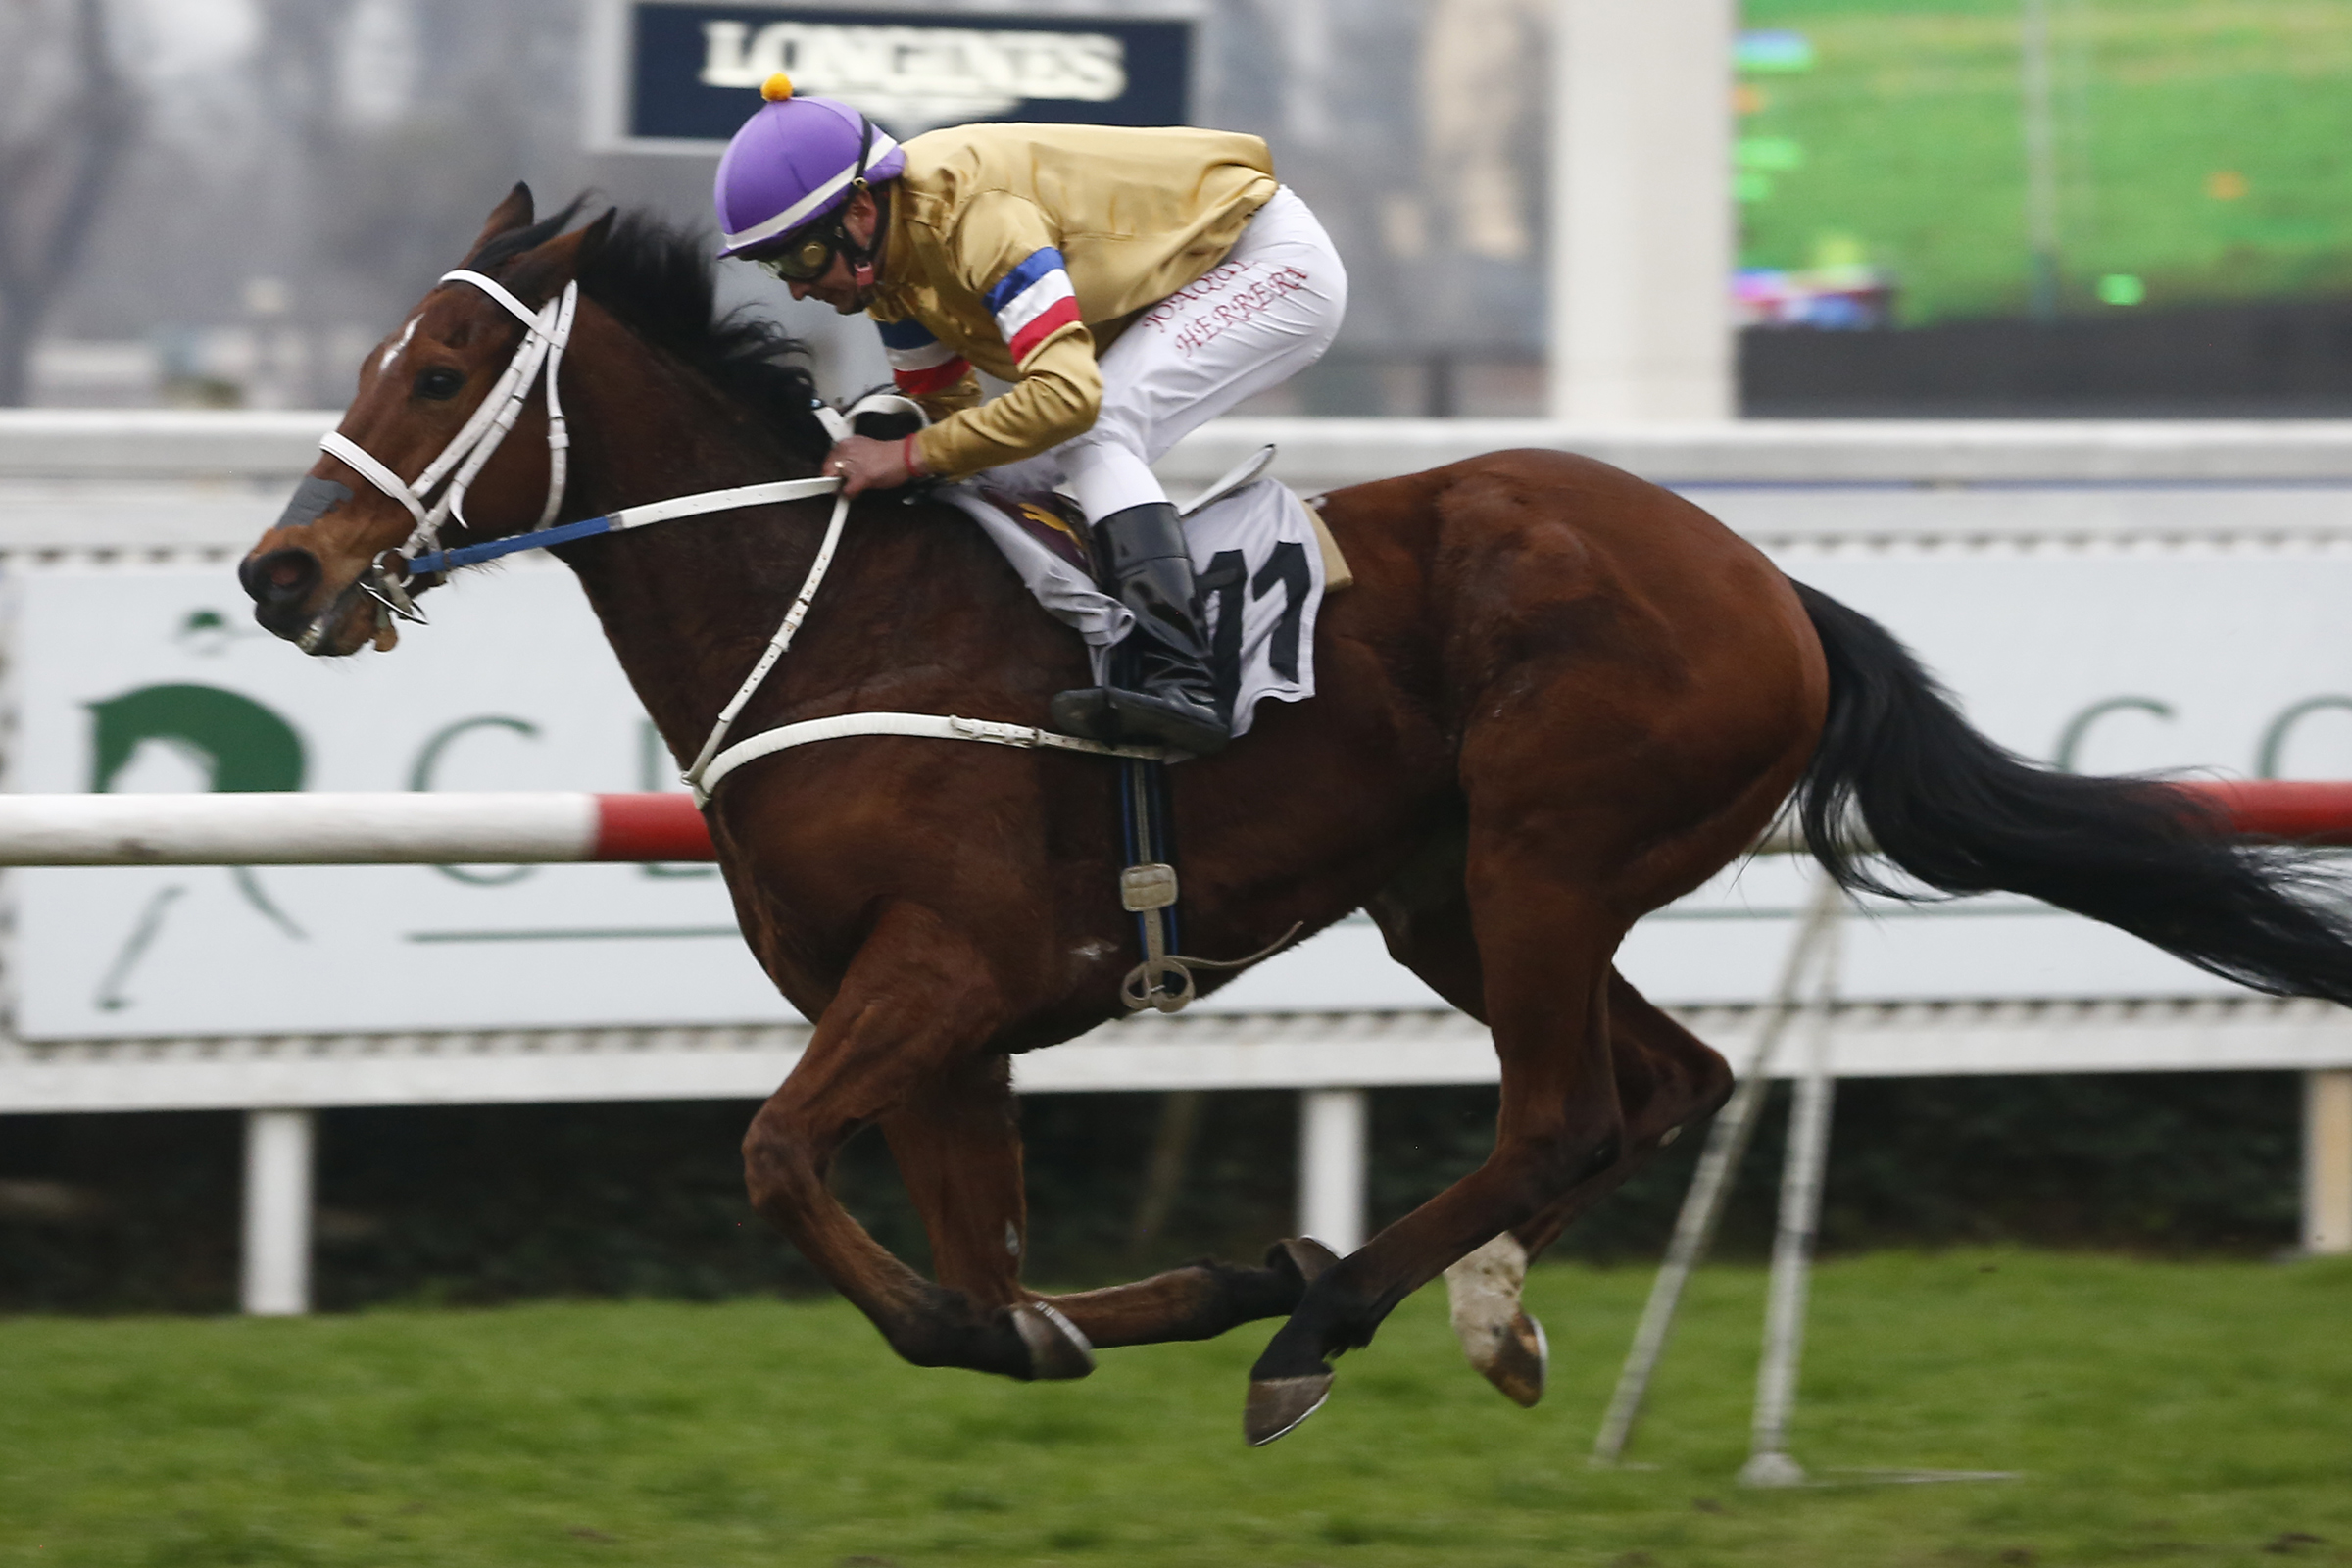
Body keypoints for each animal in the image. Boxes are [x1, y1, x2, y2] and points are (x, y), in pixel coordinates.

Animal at [240, 188, 2352, 1445]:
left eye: (440, 367)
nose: (279, 573)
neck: (831, 614)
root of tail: (1771, 585)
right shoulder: (939, 1031)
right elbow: (974, 1284)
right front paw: (1097, 1315)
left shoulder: (944, 977)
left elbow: (780, 1170)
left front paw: (1233, 1285)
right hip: (1458, 895)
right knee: (1657, 1083)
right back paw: (1465, 1316)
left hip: (1542, 849)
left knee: (1565, 1106)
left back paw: (1319, 1319)